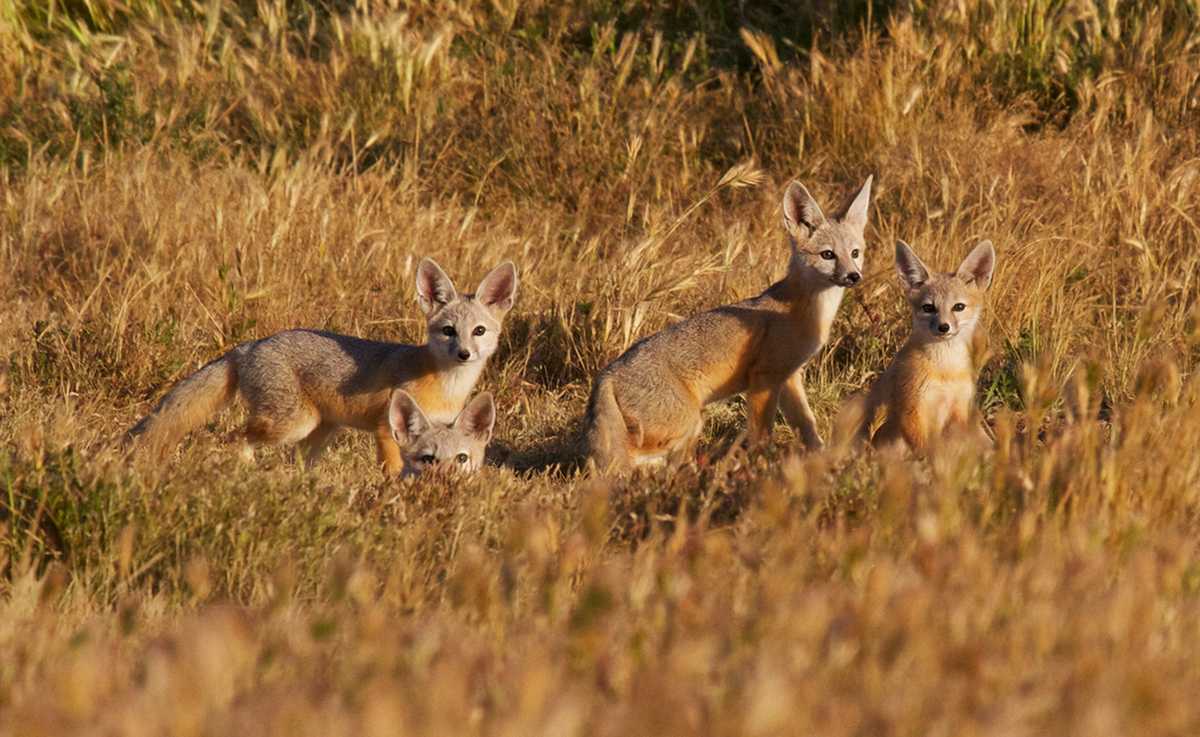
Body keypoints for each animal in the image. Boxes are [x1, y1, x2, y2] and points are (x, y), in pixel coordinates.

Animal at [124, 260, 518, 480]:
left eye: (478, 331)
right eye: (448, 331)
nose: (464, 353)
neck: (446, 385)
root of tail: (251, 344)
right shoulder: (386, 428)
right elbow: (393, 470)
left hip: (320, 432)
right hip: (294, 424)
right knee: (231, 439)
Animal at [588, 175, 878, 472]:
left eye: (855, 253)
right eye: (828, 255)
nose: (854, 276)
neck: (807, 312)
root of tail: (606, 375)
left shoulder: (789, 377)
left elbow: (807, 424)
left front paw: (822, 458)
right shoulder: (764, 378)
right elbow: (762, 435)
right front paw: (763, 466)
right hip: (689, 422)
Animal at [849, 240, 998, 456]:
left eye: (958, 307)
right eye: (928, 308)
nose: (944, 327)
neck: (945, 371)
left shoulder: (959, 409)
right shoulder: (912, 408)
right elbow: (926, 451)